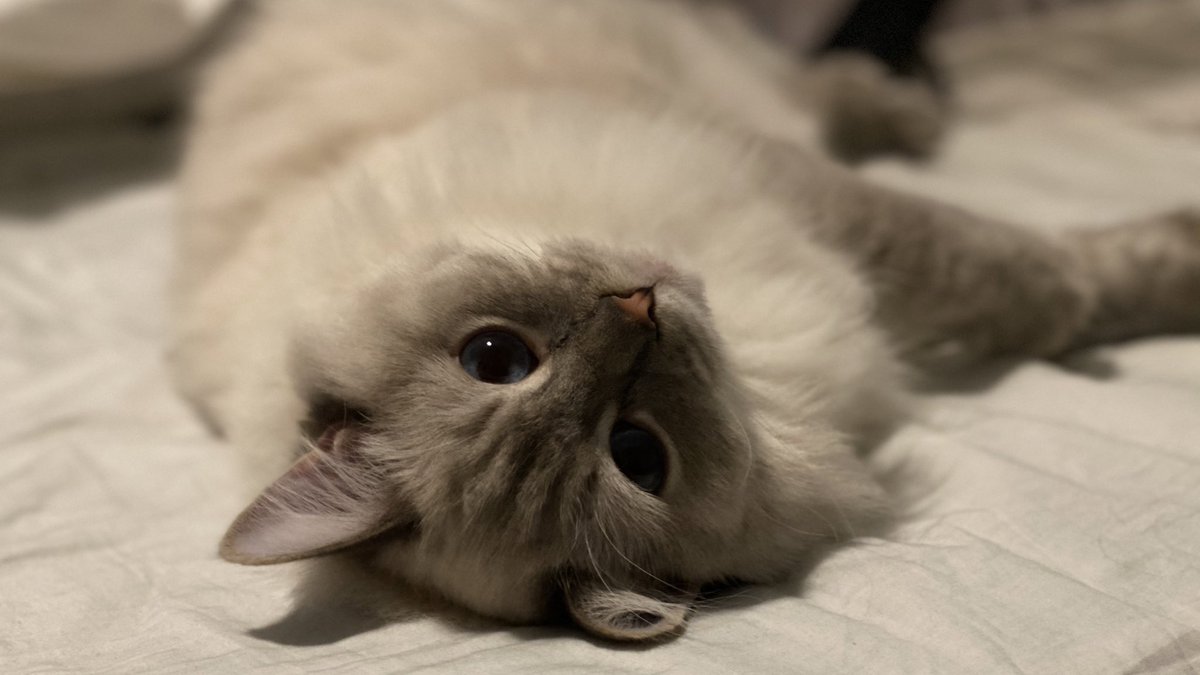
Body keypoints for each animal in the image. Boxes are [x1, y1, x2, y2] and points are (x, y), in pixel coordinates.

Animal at [174, 0, 1200, 638]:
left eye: (494, 356)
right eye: (638, 453)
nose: (642, 307)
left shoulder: (780, 180)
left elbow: (988, 254)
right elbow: (1031, 280)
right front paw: (1153, 282)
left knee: (813, 79)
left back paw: (903, 109)